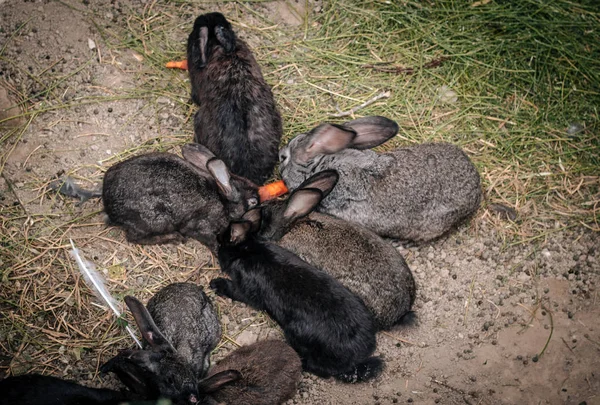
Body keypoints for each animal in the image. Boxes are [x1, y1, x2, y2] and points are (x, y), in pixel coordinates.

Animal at [211, 208, 382, 382]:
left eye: (220, 243)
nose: (215, 242)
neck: (246, 251)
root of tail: (359, 352)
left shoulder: (245, 289)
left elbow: (234, 290)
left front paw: (216, 284)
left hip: (295, 333)